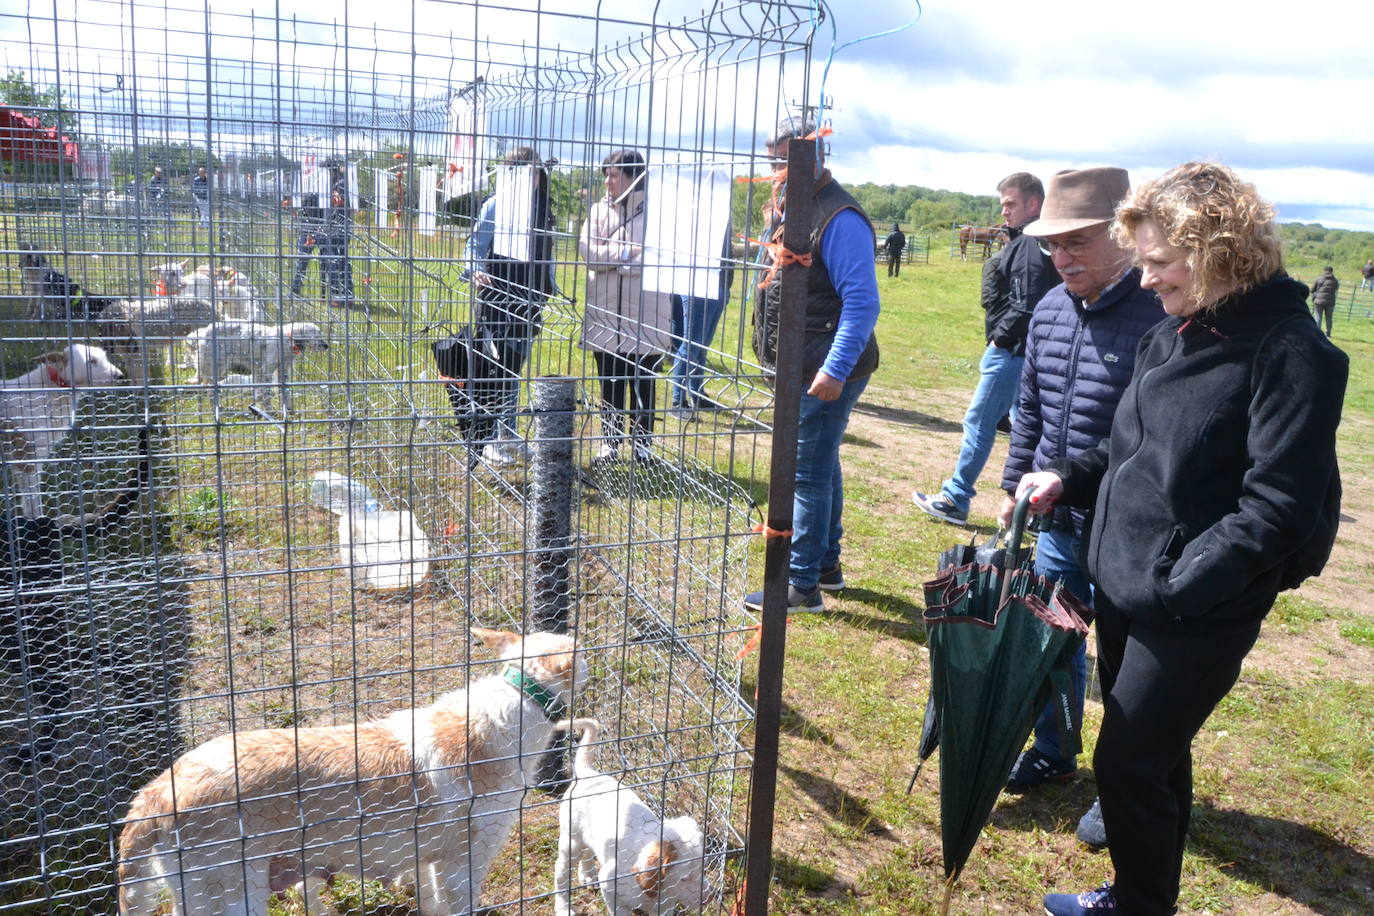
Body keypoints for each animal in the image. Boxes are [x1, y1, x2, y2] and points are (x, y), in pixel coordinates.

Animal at [118, 631, 585, 916]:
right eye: (579, 649)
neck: (516, 702)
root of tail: (157, 792)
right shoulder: (462, 864)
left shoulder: (429, 864)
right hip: (234, 897)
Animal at [188, 318, 329, 411]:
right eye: (316, 335)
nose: (327, 346)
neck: (285, 340)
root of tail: (205, 330)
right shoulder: (266, 370)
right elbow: (266, 393)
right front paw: (269, 410)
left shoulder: (281, 372)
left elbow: (283, 391)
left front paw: (288, 408)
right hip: (218, 365)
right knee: (209, 387)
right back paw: (217, 406)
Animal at [552, 719, 714, 911]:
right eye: (684, 879)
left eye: (703, 868)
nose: (709, 898)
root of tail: (587, 773)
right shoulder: (610, 886)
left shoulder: (664, 906)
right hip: (571, 841)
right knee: (561, 872)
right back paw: (563, 907)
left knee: (588, 853)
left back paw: (588, 874)